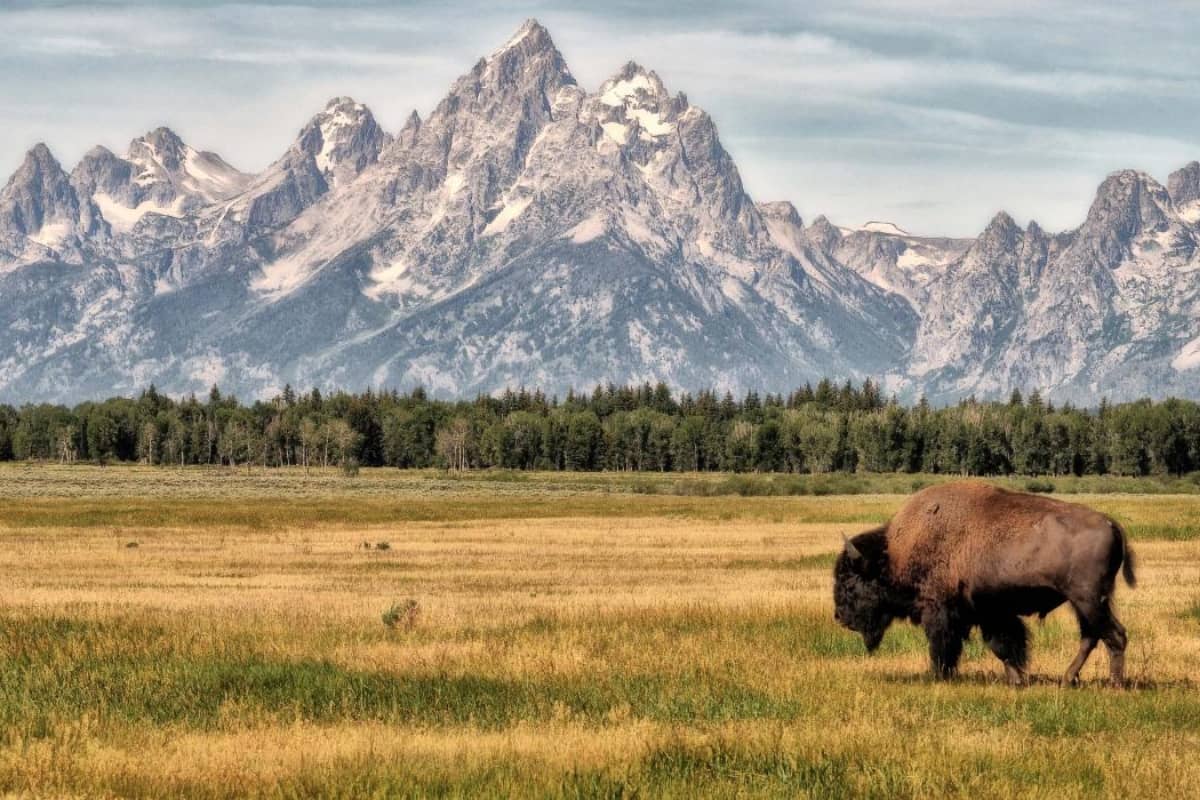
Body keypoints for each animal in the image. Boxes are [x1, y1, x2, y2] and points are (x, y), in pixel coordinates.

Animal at [835, 479, 1132, 686]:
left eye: (849, 584)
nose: (839, 617)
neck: (893, 554)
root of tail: (1110, 523)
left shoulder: (941, 611)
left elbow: (944, 645)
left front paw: (939, 676)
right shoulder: (991, 612)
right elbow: (1003, 646)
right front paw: (1016, 679)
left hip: (1088, 600)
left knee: (1114, 635)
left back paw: (1114, 684)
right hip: (1083, 603)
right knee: (1092, 636)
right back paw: (1068, 679)